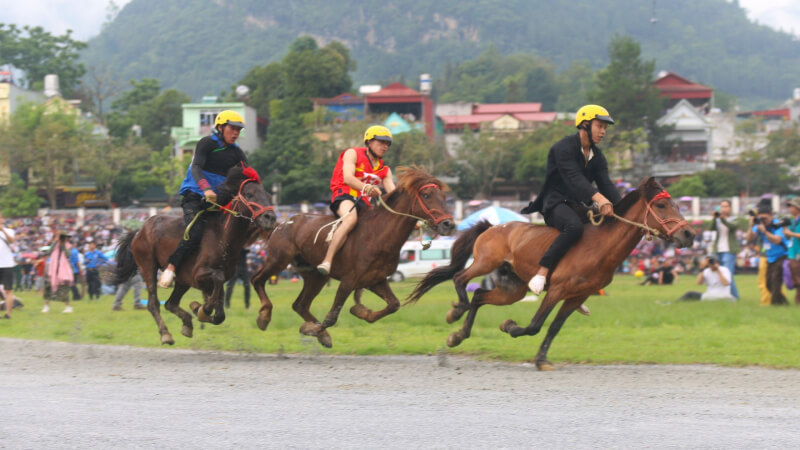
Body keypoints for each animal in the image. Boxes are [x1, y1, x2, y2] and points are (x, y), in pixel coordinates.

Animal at [110, 165, 276, 344]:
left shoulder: (216, 277)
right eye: (249, 194)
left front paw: (199, 309)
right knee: (154, 303)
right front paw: (203, 309)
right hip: (147, 266)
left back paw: (187, 323)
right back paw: (165, 333)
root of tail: (139, 231)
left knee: (170, 303)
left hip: (182, 279)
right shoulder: (199, 274)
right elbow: (216, 283)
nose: (270, 217)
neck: (223, 236)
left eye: (268, 195)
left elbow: (219, 313)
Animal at [253, 167, 460, 346]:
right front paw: (313, 329)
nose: (449, 224)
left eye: (444, 197)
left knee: (300, 305)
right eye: (427, 195)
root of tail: (282, 222)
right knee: (257, 279)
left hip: (315, 276)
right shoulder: (349, 280)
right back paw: (265, 315)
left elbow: (393, 304)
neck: (378, 235)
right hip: (278, 259)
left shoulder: (375, 280)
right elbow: (332, 316)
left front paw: (361, 311)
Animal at [406, 176, 692, 370]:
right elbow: (535, 325)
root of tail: (493, 226)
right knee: (460, 279)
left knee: (479, 297)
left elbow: (553, 328)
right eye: (663, 206)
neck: (600, 247)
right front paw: (510, 326)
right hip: (485, 262)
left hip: (512, 289)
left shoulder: (576, 297)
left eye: (677, 204)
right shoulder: (556, 290)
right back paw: (456, 312)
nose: (689, 234)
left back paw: (459, 335)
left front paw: (541, 358)